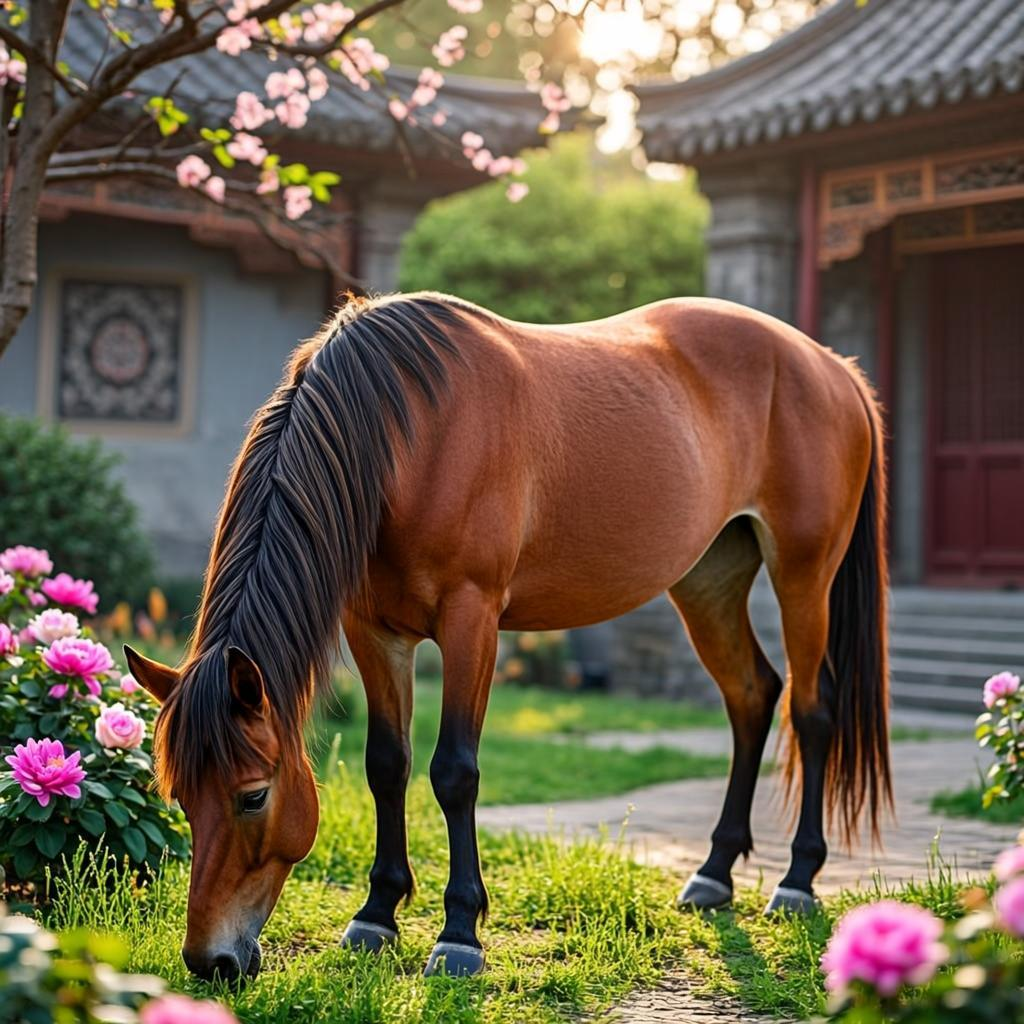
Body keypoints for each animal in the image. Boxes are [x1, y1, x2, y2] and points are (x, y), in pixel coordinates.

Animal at [125, 291, 892, 981]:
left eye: (254, 795)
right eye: (180, 795)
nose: (211, 961)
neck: (410, 434)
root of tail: (833, 368)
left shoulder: (472, 621)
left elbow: (453, 772)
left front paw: (459, 934)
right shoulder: (373, 631)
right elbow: (387, 765)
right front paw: (376, 916)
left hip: (803, 575)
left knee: (810, 710)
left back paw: (796, 881)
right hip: (709, 579)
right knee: (751, 696)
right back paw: (714, 873)